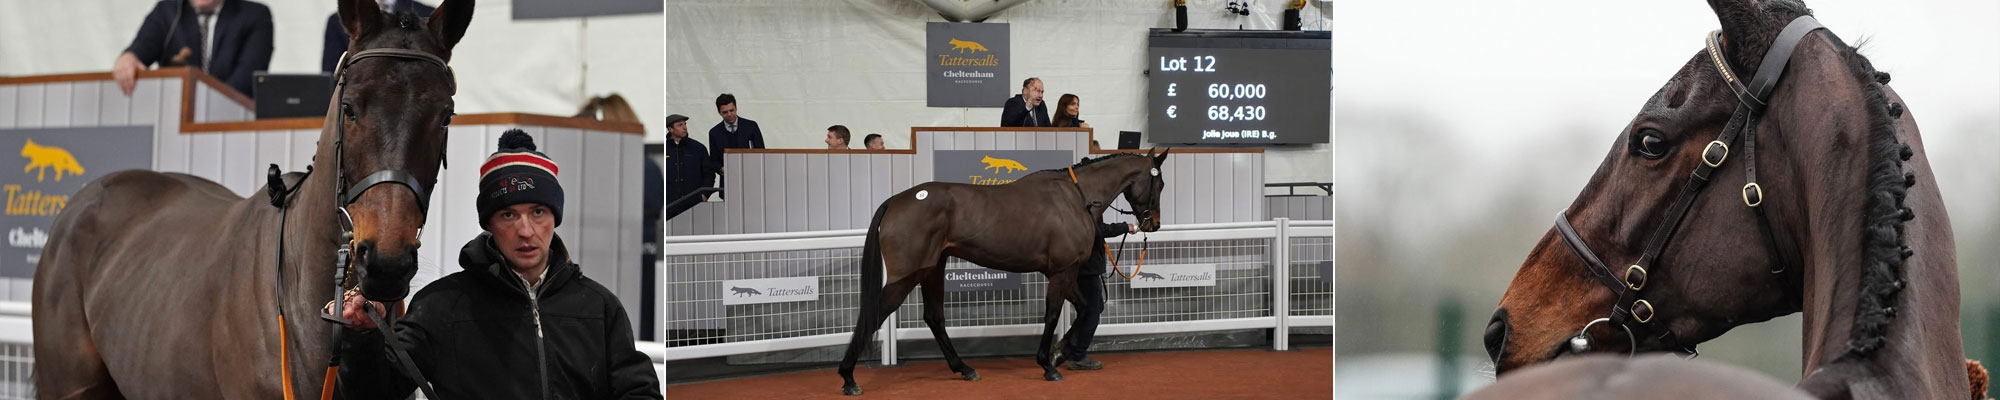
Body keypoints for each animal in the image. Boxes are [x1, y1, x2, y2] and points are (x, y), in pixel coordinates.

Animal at [836, 149, 1171, 396]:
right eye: (1160, 184)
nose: (1152, 223)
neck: (1075, 197)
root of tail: (895, 201)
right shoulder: (1062, 272)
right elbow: (1053, 315)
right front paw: (1048, 365)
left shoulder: (1066, 272)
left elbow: (1086, 308)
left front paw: (1060, 353)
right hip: (906, 276)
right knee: (875, 313)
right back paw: (848, 378)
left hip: (933, 269)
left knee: (934, 317)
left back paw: (964, 368)